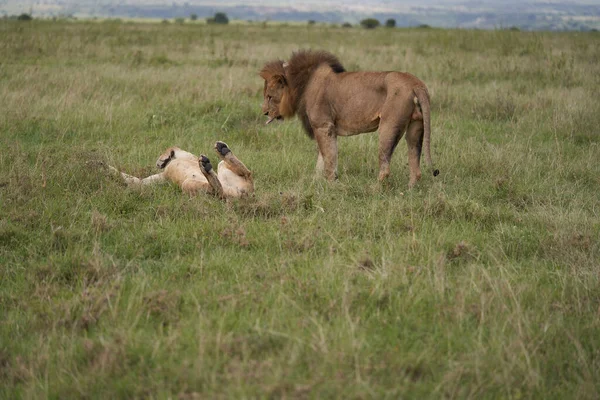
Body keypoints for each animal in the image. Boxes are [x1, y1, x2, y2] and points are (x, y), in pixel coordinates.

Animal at [108, 141, 253, 199]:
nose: (159, 165)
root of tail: (245, 196)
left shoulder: (188, 155)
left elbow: (173, 147)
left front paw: (163, 159)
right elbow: (135, 182)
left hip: (189, 183)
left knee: (244, 176)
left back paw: (220, 151)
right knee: (222, 189)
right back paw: (210, 161)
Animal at [260, 50, 438, 188]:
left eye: (269, 96)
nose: (264, 113)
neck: (303, 84)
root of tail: (416, 84)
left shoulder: (323, 126)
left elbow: (329, 157)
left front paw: (331, 184)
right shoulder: (327, 128)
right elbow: (323, 157)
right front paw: (316, 182)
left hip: (389, 126)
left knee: (385, 168)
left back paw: (373, 190)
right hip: (416, 127)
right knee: (416, 168)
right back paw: (410, 191)